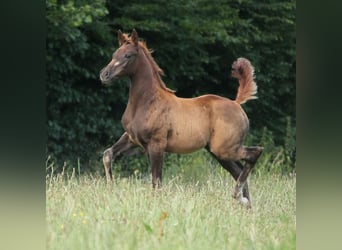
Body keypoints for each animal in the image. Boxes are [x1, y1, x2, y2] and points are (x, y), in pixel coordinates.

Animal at [99, 29, 262, 208]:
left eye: (128, 55)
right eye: (114, 54)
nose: (104, 75)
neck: (146, 101)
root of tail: (236, 103)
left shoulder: (157, 145)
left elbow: (156, 182)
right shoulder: (132, 138)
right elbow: (107, 154)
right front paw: (110, 189)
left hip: (225, 149)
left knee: (254, 154)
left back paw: (238, 196)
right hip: (219, 152)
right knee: (239, 170)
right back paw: (245, 204)